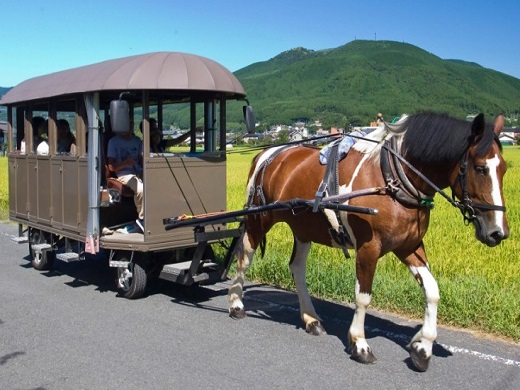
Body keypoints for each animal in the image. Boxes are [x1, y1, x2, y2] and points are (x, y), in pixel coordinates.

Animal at [229, 112, 508, 372]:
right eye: (480, 168)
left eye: (504, 168)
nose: (498, 232)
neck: (392, 179)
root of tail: (267, 153)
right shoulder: (368, 247)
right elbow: (363, 296)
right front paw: (360, 343)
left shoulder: (410, 246)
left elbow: (432, 291)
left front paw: (423, 345)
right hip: (258, 218)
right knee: (244, 257)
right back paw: (236, 303)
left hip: (303, 225)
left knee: (297, 268)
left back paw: (310, 318)